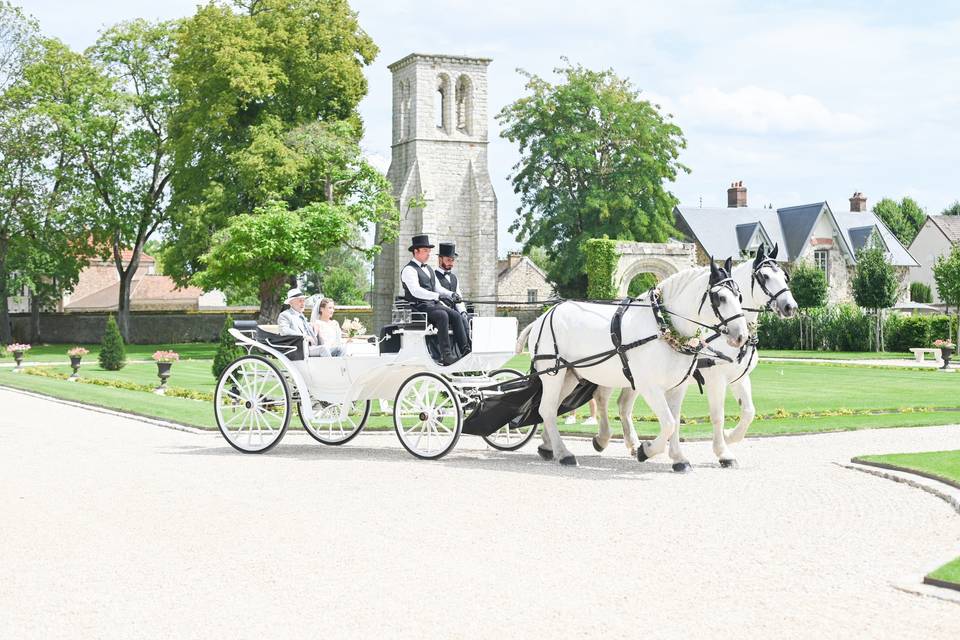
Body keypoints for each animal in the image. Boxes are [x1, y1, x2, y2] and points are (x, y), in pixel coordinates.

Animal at [516, 258, 752, 468]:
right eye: (720, 297)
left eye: (739, 296)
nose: (741, 336)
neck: (663, 326)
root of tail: (542, 317)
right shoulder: (651, 387)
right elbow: (669, 423)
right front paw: (646, 450)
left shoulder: (678, 386)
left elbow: (675, 421)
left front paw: (678, 458)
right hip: (552, 374)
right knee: (548, 409)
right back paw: (564, 453)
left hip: (570, 375)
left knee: (551, 408)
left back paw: (550, 447)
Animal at [592, 242, 796, 468]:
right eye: (765, 276)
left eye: (785, 276)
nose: (790, 307)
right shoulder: (716, 379)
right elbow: (717, 416)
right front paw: (723, 452)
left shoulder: (738, 378)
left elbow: (748, 412)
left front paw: (729, 436)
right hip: (610, 373)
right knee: (602, 398)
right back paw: (603, 438)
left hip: (634, 378)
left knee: (623, 405)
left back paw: (633, 444)